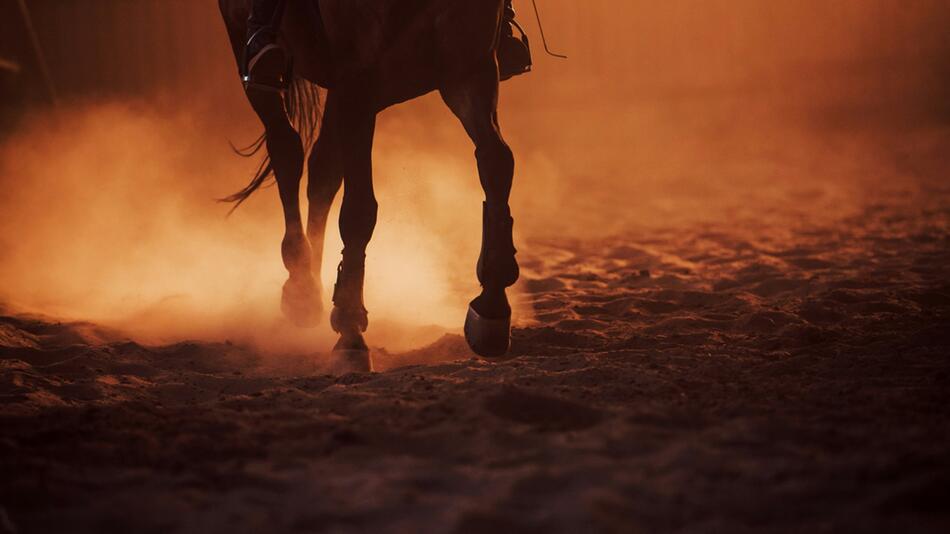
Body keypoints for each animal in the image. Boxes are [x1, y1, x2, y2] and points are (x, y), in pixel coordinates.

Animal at [218, 0, 520, 372]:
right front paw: (350, 328)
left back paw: (312, 286)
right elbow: (359, 209)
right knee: (287, 152)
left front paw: (491, 306)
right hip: (248, 51)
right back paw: (300, 286)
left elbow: (496, 163)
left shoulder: (471, 69)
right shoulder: (357, 82)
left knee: (323, 170)